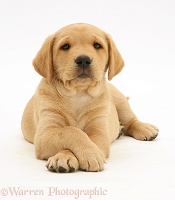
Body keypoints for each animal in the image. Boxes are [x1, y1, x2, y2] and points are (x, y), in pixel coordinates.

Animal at [20, 23, 159, 173]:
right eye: (65, 46)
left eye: (97, 45)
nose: (83, 60)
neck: (78, 94)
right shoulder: (44, 134)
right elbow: (71, 131)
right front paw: (67, 156)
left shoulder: (99, 132)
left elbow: (84, 136)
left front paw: (85, 154)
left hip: (120, 100)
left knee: (131, 120)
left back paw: (144, 128)